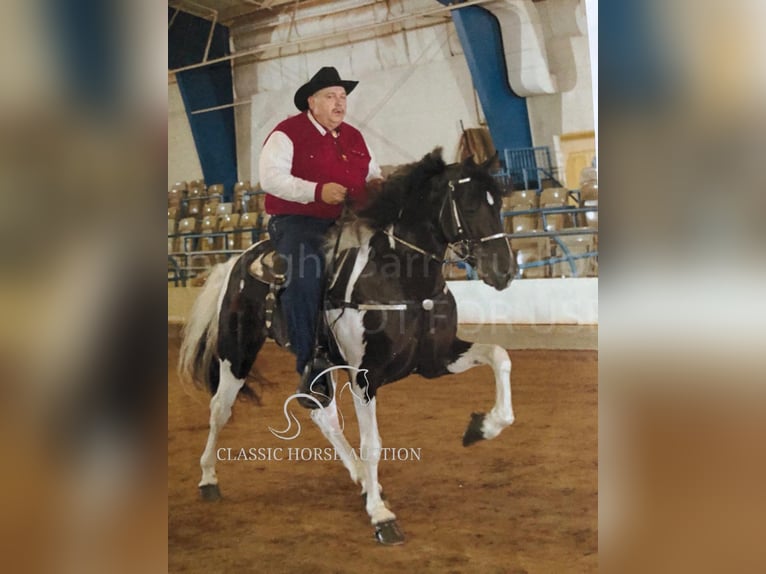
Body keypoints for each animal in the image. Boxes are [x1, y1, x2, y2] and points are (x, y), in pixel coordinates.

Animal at [179, 148, 516, 544]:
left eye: (499, 201)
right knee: (221, 409)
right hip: (238, 354)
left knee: (320, 412)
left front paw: (483, 427)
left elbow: (499, 357)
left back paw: (361, 479)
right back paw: (208, 479)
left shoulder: (436, 359)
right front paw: (381, 517)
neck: (401, 279)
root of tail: (236, 260)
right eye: (470, 203)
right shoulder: (365, 377)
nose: (505, 271)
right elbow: (373, 443)